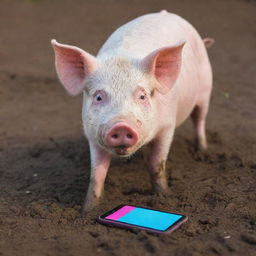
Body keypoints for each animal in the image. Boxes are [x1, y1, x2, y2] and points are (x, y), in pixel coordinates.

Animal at [51, 10, 213, 212]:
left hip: (206, 89)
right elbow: (96, 174)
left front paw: (165, 197)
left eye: (142, 96)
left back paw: (203, 152)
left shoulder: (168, 126)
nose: (121, 126)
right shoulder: (92, 135)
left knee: (200, 119)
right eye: (98, 97)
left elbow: (156, 164)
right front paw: (87, 210)